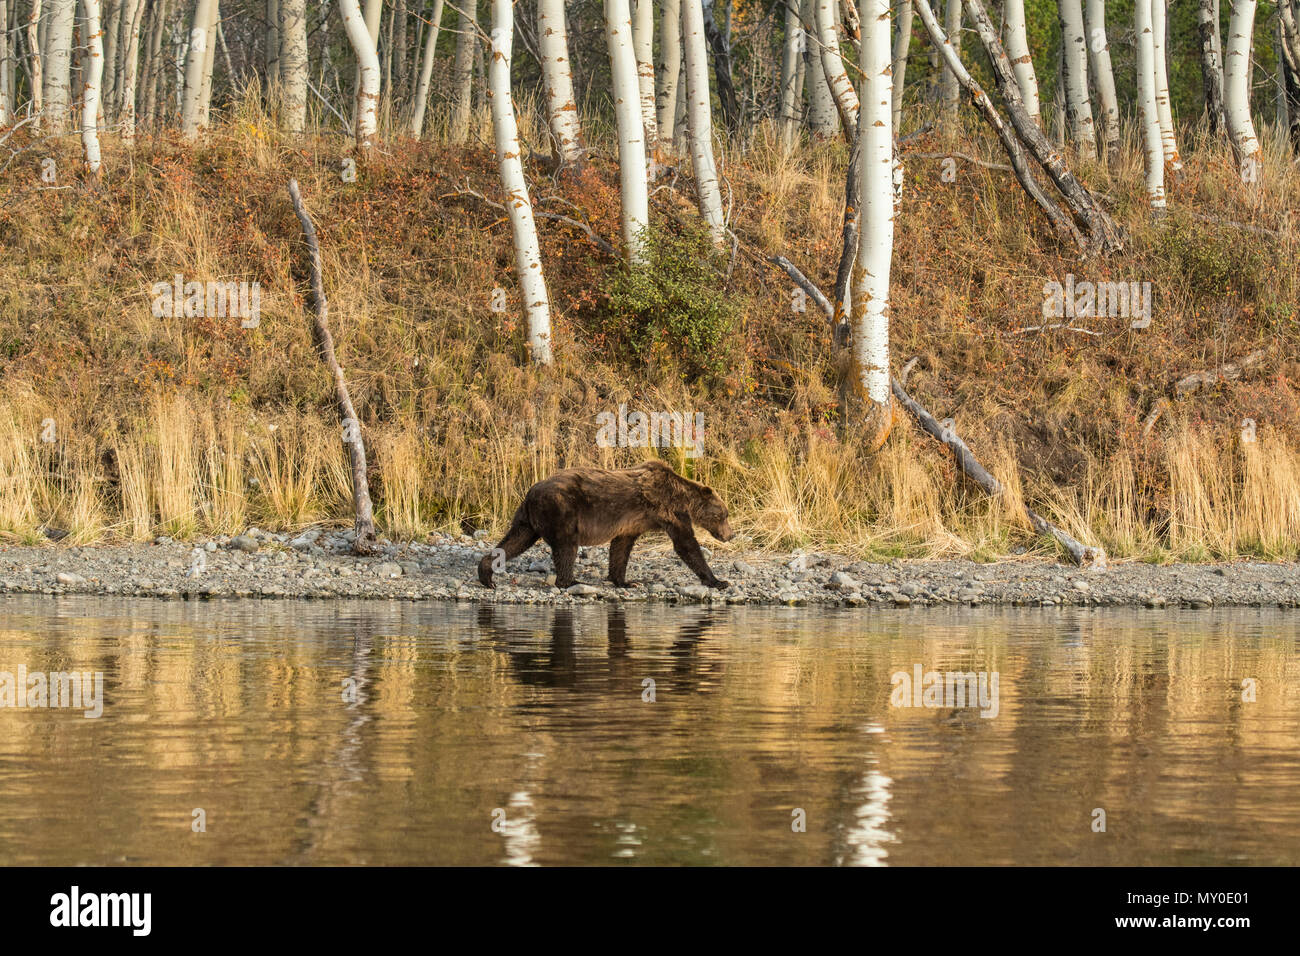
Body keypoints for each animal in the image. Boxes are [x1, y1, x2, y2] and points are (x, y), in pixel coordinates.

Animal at [483, 457, 738, 587]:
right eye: (724, 515)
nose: (731, 535)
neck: (683, 499)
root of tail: (530, 493)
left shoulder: (633, 521)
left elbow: (621, 548)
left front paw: (624, 581)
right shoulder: (669, 511)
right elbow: (686, 545)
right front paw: (718, 580)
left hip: (527, 519)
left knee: (514, 541)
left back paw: (486, 574)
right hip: (562, 510)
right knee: (566, 546)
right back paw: (570, 581)